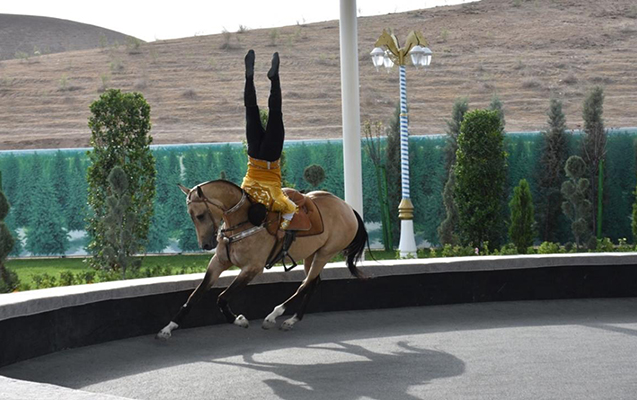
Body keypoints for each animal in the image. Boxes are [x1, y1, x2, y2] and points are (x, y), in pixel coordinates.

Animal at [156, 180, 367, 339]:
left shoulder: (252, 268)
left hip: (325, 253)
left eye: (200, 215)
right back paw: (292, 320)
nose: (205, 244)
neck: (245, 221)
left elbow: (222, 297)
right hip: (311, 255)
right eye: (191, 216)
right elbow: (194, 296)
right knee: (313, 283)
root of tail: (348, 208)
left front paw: (238, 319)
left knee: (305, 285)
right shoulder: (218, 262)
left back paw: (274, 315)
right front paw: (169, 327)